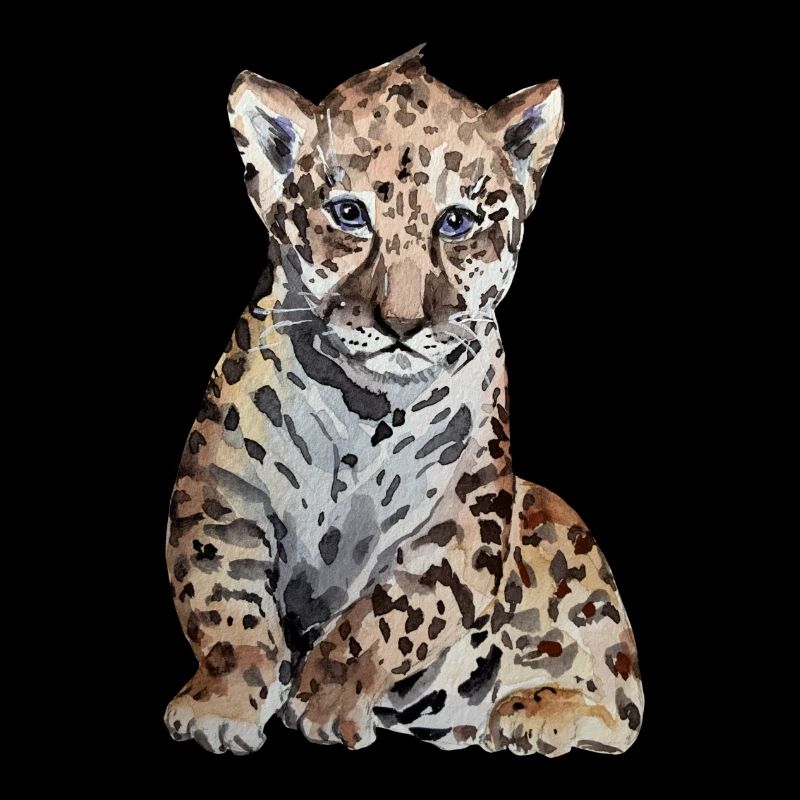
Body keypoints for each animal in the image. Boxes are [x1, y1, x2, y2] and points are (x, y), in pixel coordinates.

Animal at [164, 45, 644, 757]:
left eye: (457, 222)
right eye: (349, 214)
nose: (402, 322)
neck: (364, 408)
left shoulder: (460, 523)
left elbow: (387, 620)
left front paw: (325, 703)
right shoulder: (222, 495)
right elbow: (227, 609)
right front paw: (221, 706)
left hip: (561, 532)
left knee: (624, 701)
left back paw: (532, 714)